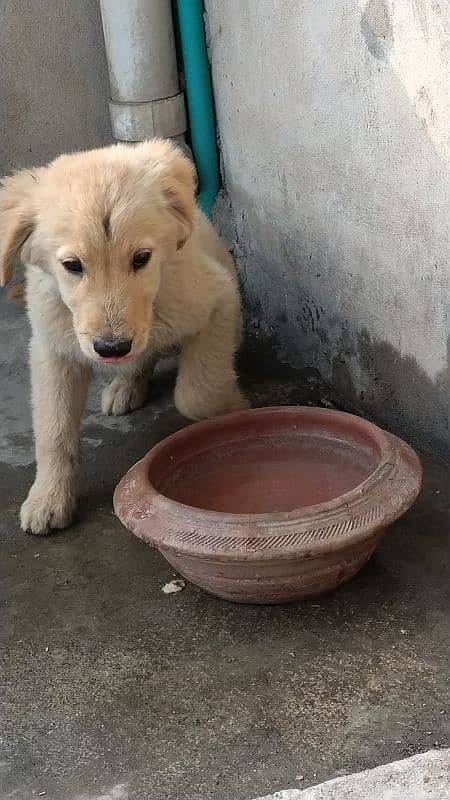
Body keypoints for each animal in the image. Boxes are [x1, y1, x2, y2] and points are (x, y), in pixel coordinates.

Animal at [0, 141, 248, 536]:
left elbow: (196, 395)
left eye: (142, 258)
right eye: (72, 265)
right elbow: (52, 429)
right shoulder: (52, 346)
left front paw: (234, 410)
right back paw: (126, 385)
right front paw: (49, 498)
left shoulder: (219, 299)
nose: (112, 348)